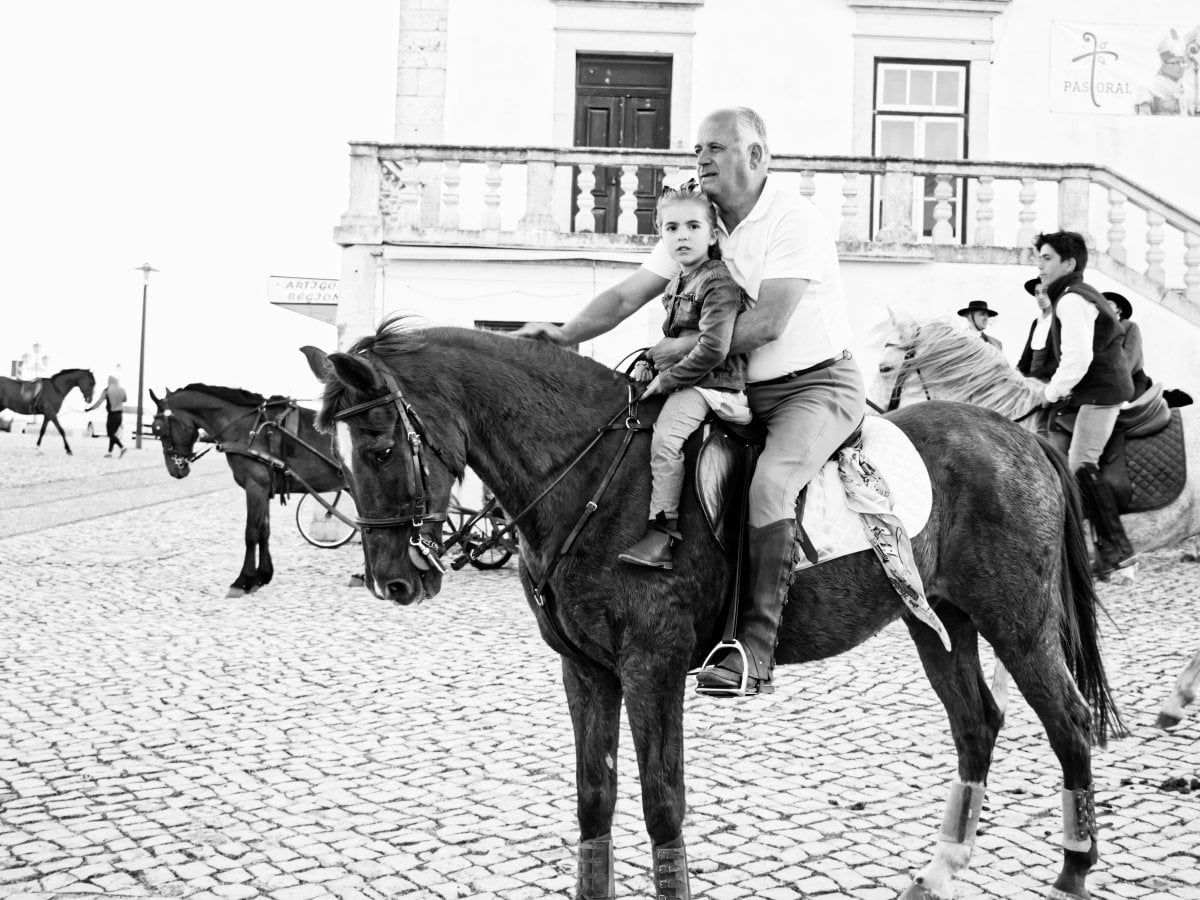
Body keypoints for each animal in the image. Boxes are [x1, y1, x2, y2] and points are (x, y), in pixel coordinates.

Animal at [149, 384, 349, 597]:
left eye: (159, 429)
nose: (175, 469)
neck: (248, 428)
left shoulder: (255, 487)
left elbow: (251, 532)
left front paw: (243, 580)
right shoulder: (264, 490)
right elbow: (264, 530)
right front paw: (262, 576)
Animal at [303, 320, 1124, 900]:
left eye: (378, 446)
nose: (391, 582)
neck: (597, 479)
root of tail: (1016, 435)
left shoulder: (652, 668)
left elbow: (662, 803)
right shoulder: (586, 672)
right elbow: (594, 799)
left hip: (1017, 622)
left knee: (1068, 721)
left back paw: (1074, 870)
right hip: (939, 621)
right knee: (976, 725)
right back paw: (942, 871)